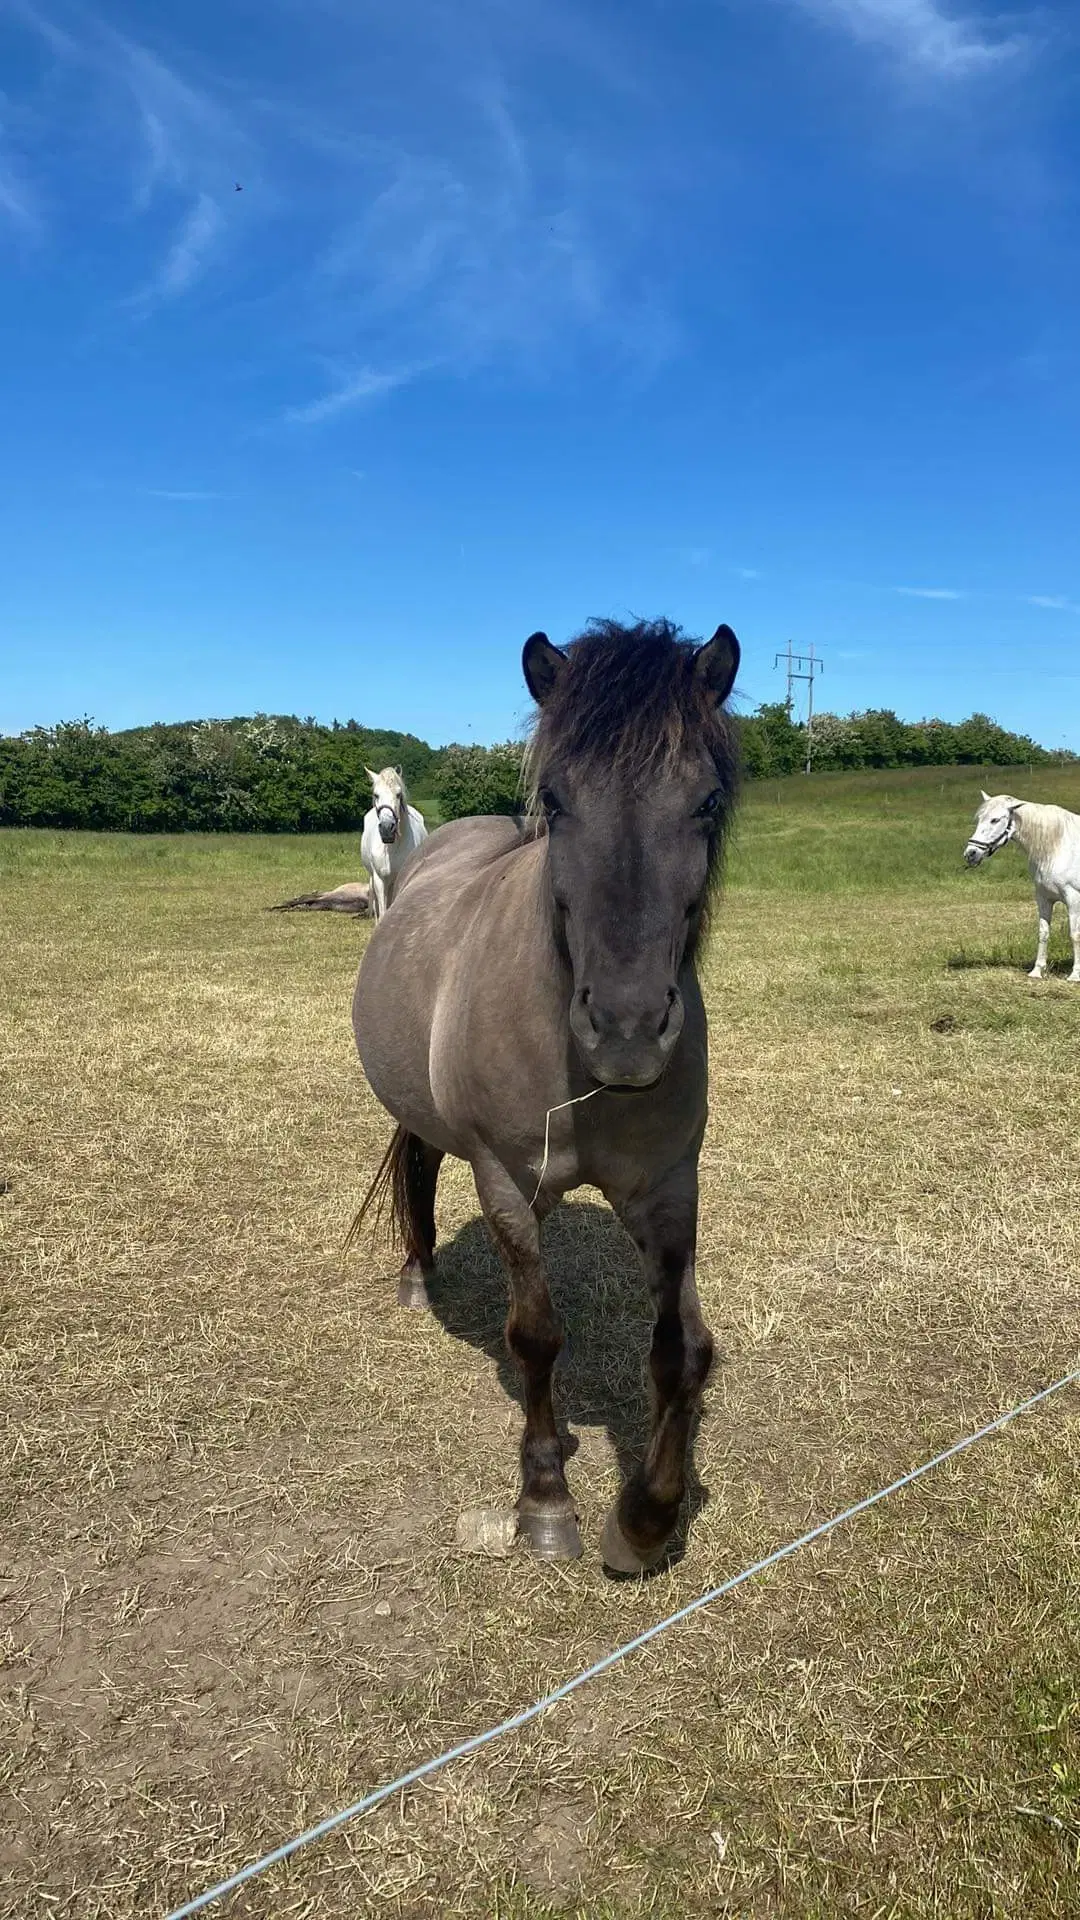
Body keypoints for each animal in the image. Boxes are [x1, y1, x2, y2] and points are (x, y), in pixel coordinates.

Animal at [361, 760, 428, 917]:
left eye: (398, 794)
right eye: (376, 795)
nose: (387, 828)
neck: (392, 848)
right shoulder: (379, 880)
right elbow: (382, 911)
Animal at [957, 787, 1076, 983]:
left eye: (995, 819)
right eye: (979, 818)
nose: (971, 853)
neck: (1058, 847)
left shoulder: (1074, 900)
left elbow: (1075, 935)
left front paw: (1075, 975)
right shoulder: (1044, 898)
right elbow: (1043, 933)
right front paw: (1037, 971)